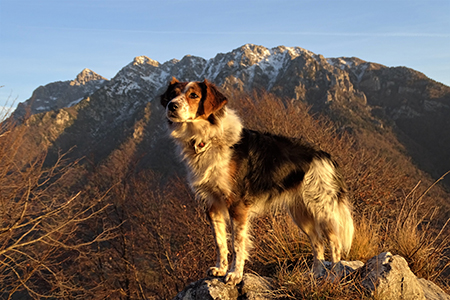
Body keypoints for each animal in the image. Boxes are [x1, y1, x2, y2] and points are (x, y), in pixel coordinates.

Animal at [160, 77, 354, 284]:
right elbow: (220, 241)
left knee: (334, 243)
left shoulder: (237, 205)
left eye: (194, 95)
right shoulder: (213, 204)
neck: (208, 138)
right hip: (301, 212)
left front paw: (235, 275)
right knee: (317, 242)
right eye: (172, 95)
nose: (171, 106)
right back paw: (315, 274)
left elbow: (237, 244)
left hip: (322, 209)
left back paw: (333, 276)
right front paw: (220, 270)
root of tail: (326, 157)